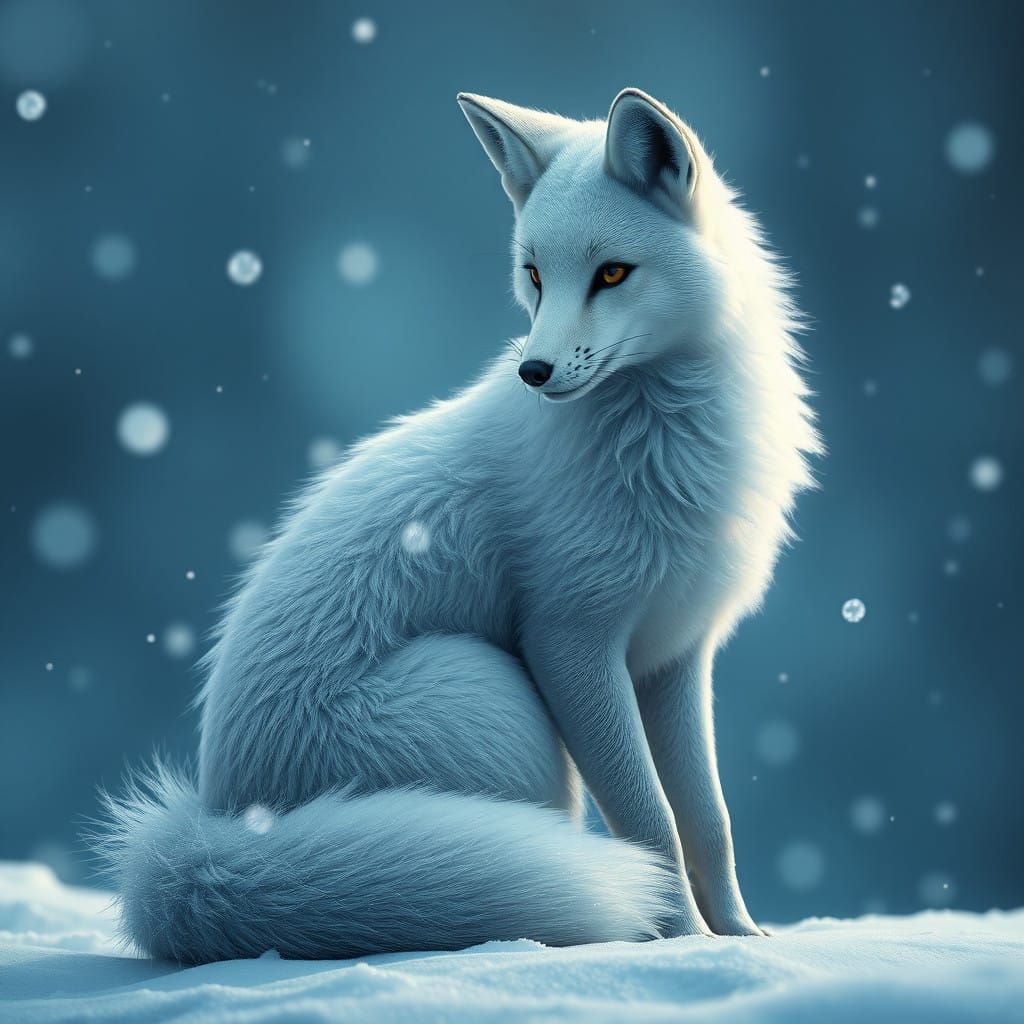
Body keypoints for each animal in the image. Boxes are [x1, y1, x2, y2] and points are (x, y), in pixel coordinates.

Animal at [100, 88, 819, 963]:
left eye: (612, 273)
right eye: (535, 275)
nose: (534, 371)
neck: (666, 446)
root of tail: (222, 830)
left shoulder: (674, 655)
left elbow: (708, 821)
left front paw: (740, 936)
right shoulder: (570, 642)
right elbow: (650, 824)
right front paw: (677, 941)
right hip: (500, 702)